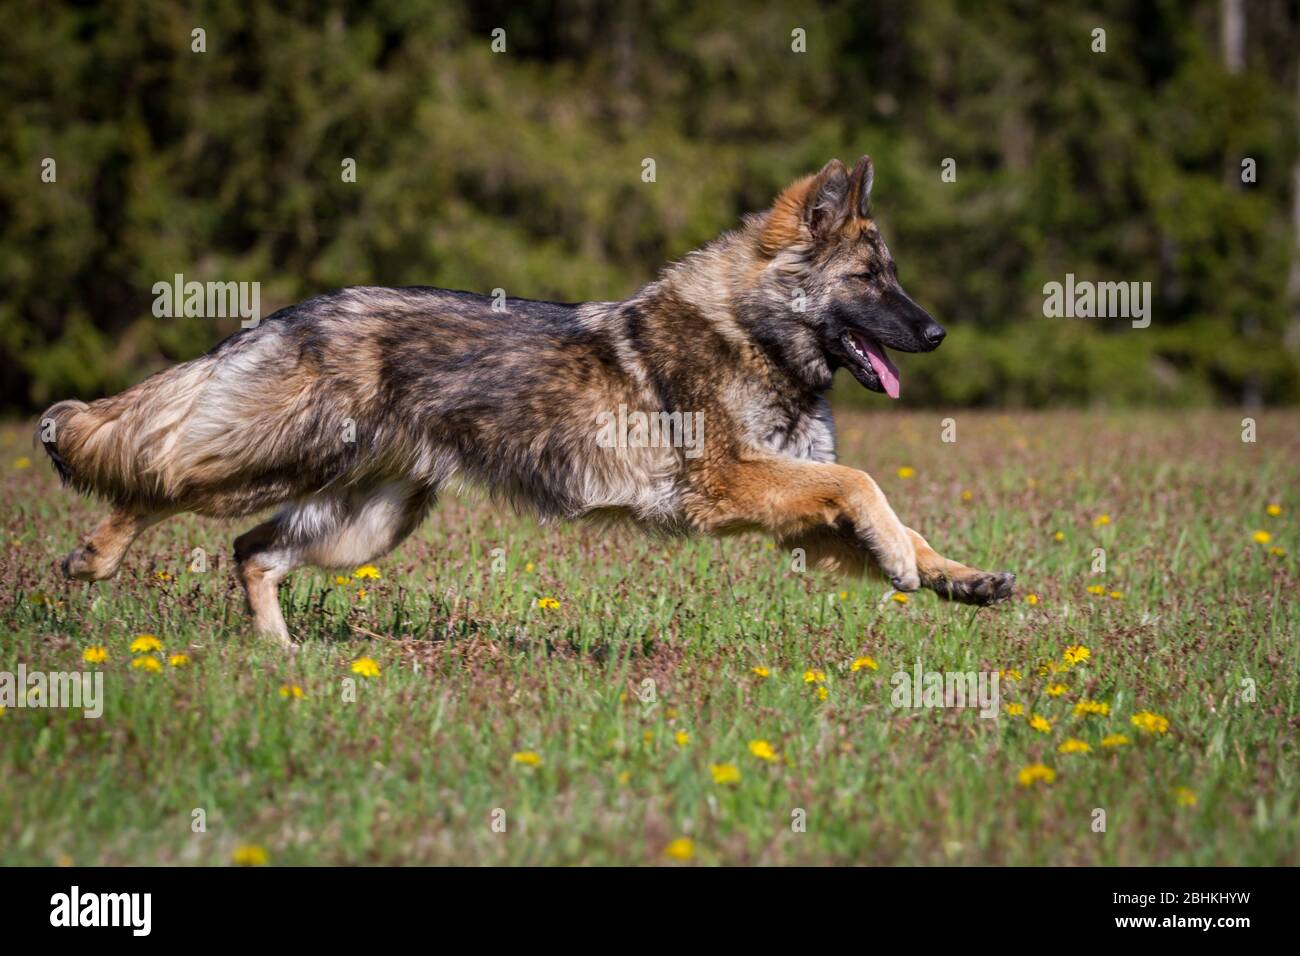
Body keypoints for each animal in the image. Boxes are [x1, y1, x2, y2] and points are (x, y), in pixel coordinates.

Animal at [38, 158, 1013, 650]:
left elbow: (890, 511)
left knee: (250, 551)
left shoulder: (788, 508)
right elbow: (864, 487)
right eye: (871, 280)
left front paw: (956, 577)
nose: (937, 334)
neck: (755, 331)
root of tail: (298, 308)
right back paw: (96, 555)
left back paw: (279, 658)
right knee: (160, 479)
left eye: (895, 276)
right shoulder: (736, 488)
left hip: (367, 523)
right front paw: (906, 565)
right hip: (281, 459)